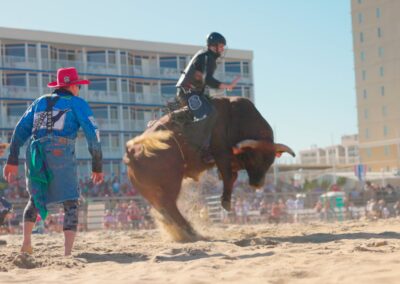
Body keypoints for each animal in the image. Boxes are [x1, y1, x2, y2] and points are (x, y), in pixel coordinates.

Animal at [123, 96, 296, 241]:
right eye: (254, 158)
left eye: (270, 161)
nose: (257, 184)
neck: (236, 118)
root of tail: (132, 151)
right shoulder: (221, 152)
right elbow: (228, 176)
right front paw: (225, 201)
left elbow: (231, 175)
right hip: (171, 183)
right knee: (169, 206)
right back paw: (191, 231)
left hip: (151, 191)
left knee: (163, 210)